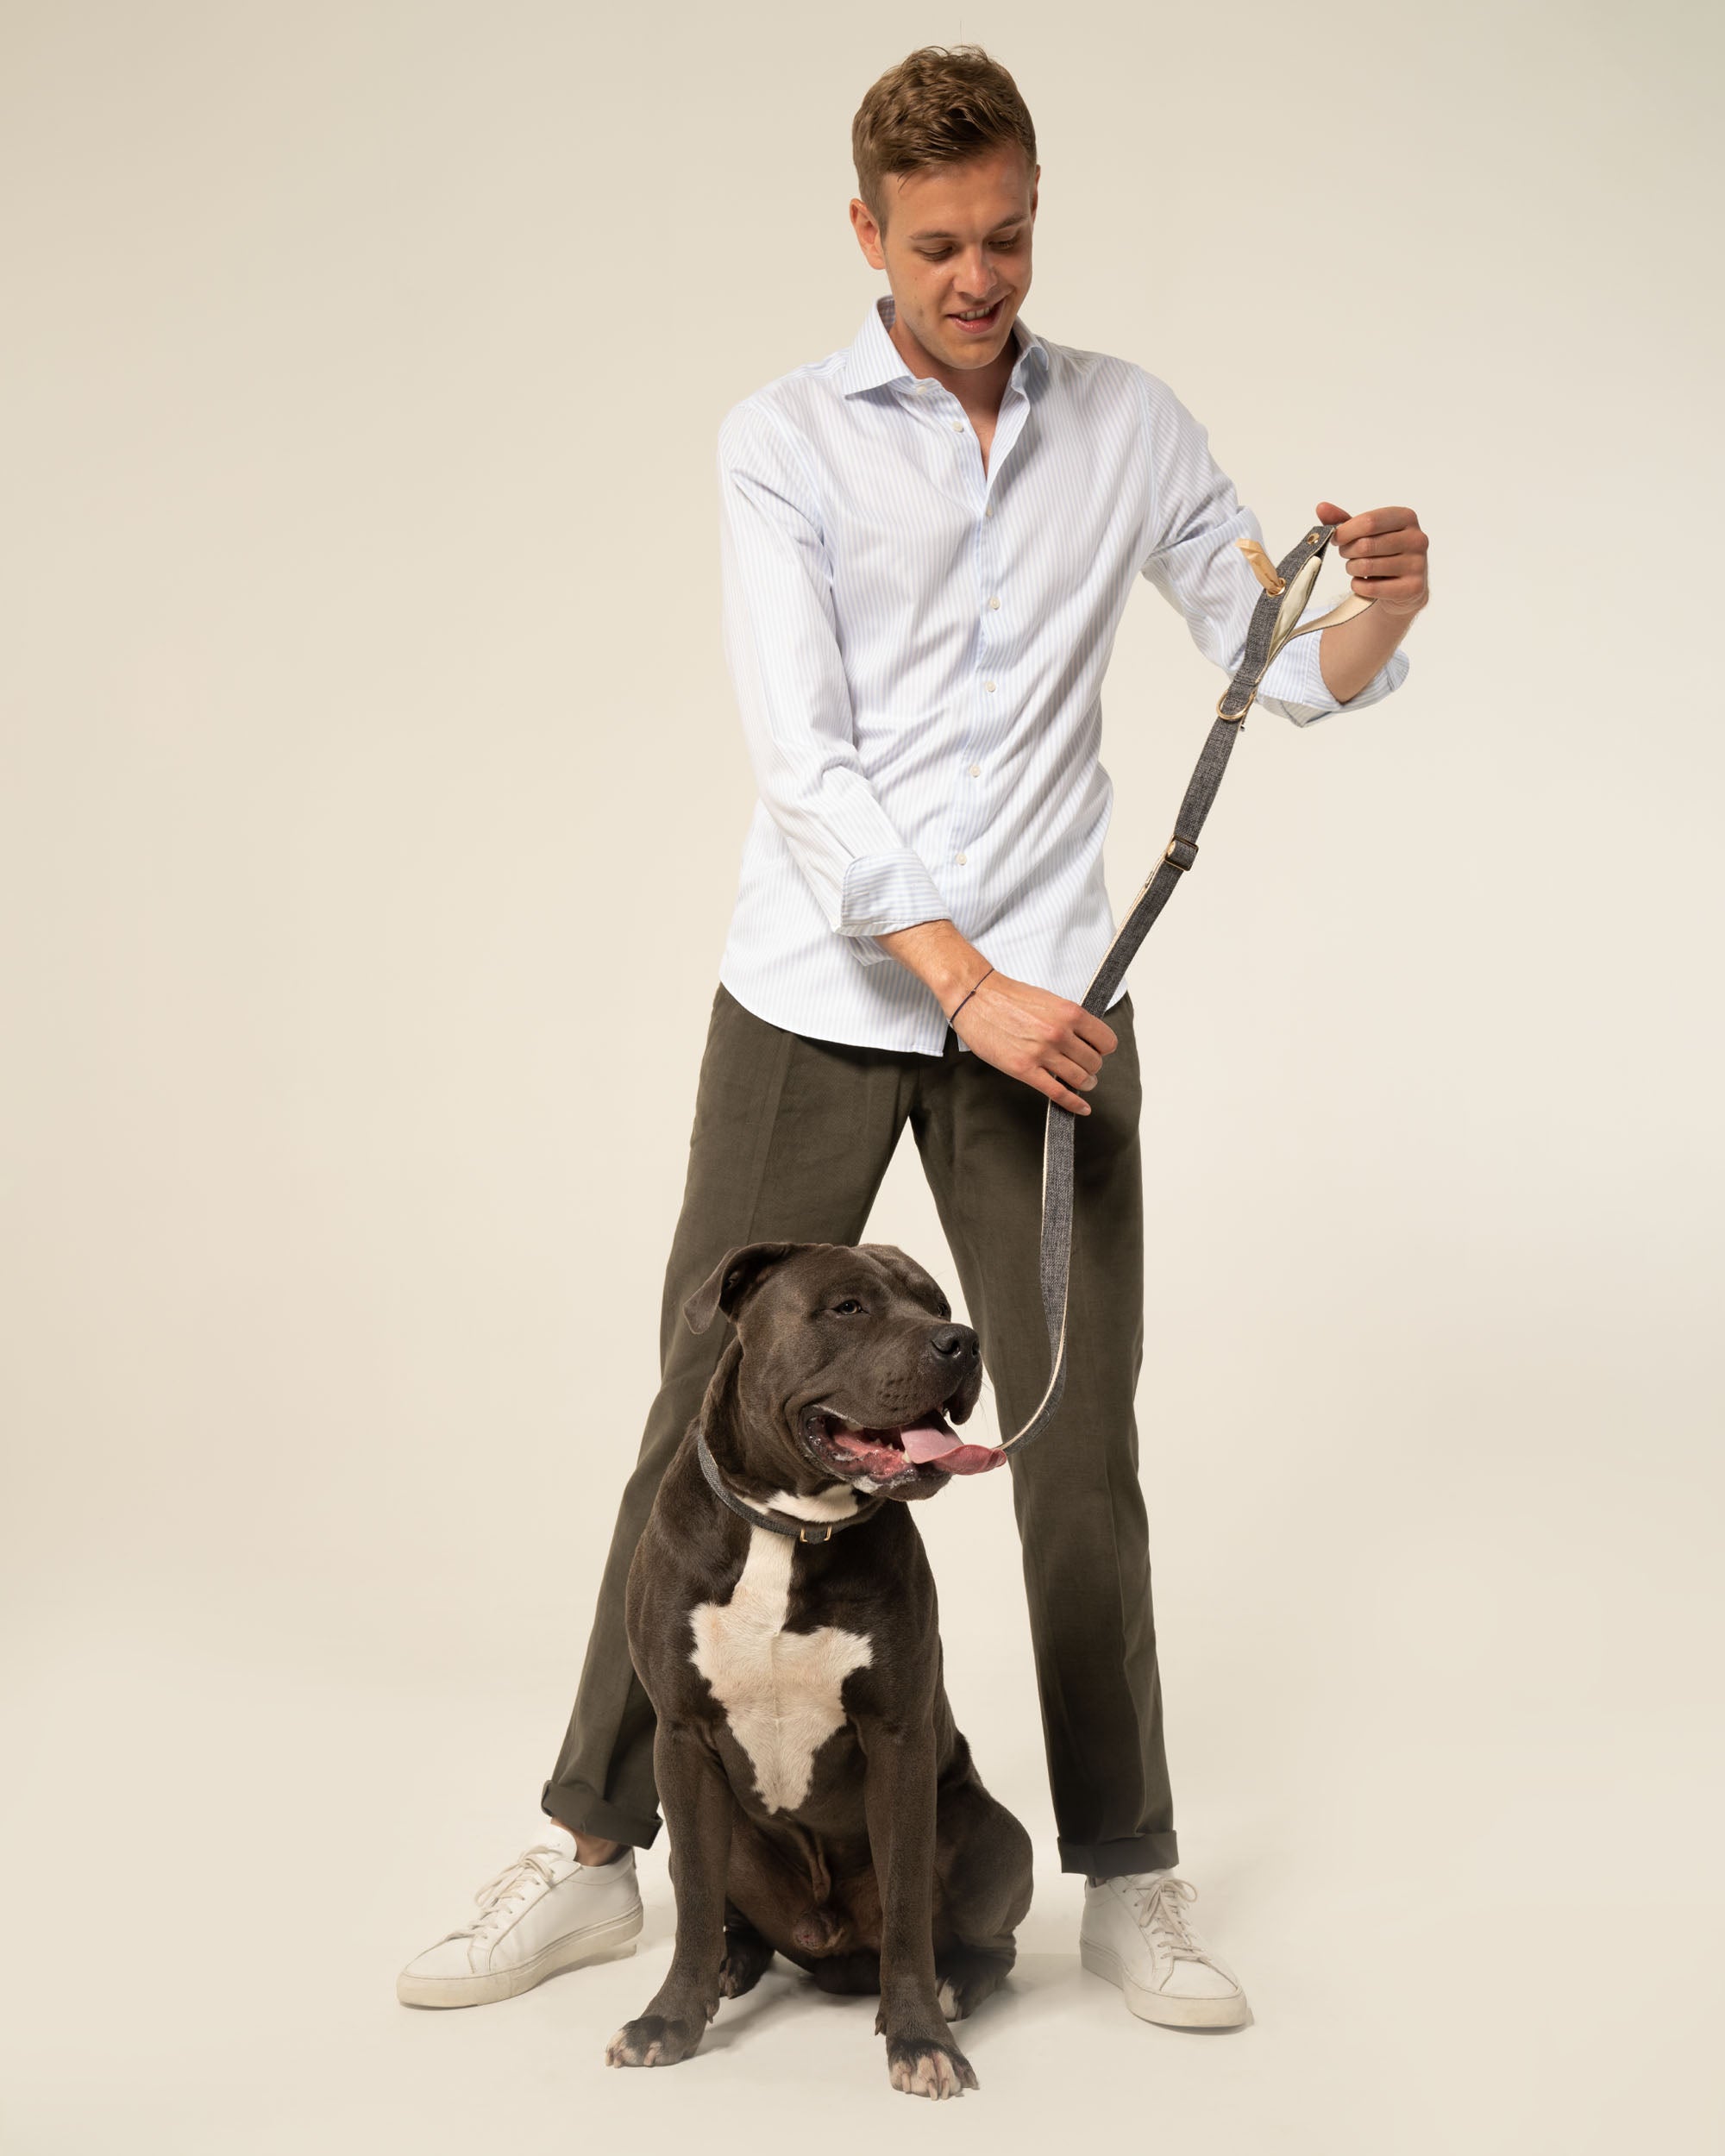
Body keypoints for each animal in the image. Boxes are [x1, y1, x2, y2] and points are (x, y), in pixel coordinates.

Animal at [604, 1239, 1033, 2099]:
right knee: (725, 1909)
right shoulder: (681, 1738)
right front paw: (670, 2020)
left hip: (996, 1834)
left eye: (939, 1303)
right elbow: (693, 1902)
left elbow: (908, 1910)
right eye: (848, 1307)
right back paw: (731, 1966)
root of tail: (829, 1945)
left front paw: (920, 2037)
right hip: (724, 1830)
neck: (790, 1526)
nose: (962, 1340)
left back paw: (957, 1983)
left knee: (988, 1942)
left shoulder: (898, 1741)